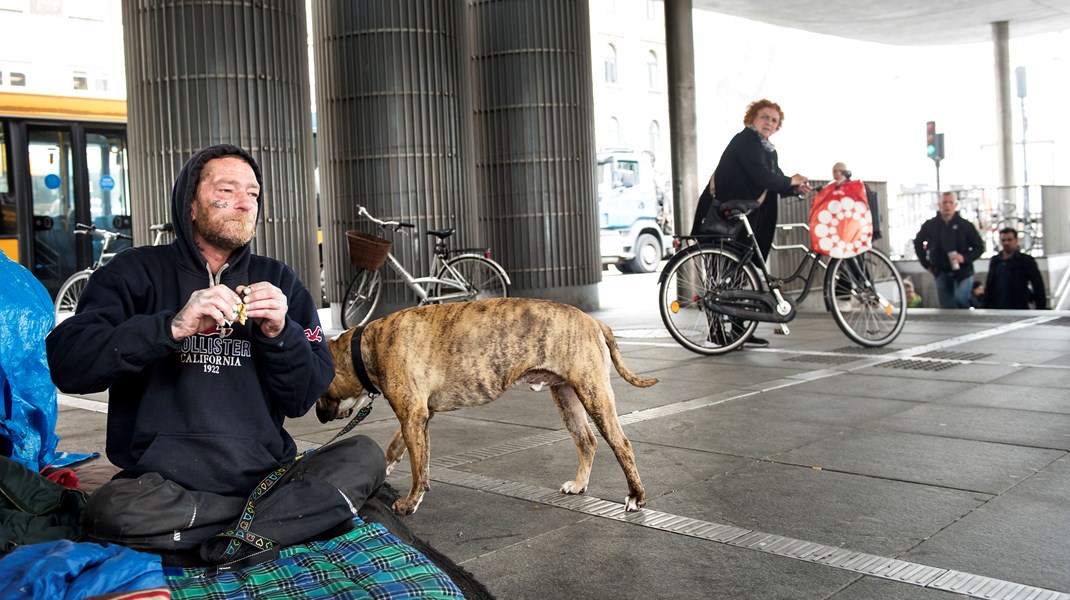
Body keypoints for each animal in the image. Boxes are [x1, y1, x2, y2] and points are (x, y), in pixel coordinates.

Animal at [312, 297, 654, 513]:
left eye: (319, 391)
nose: (317, 415)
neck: (366, 346)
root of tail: (594, 321)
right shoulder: (419, 416)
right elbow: (397, 450)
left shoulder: (412, 416)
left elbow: (417, 467)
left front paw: (410, 502)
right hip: (566, 397)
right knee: (587, 441)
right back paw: (580, 483)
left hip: (593, 393)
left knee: (621, 444)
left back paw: (636, 497)